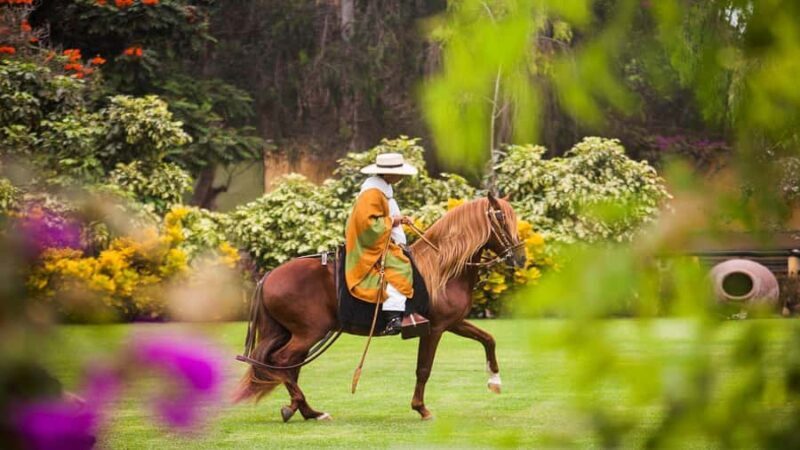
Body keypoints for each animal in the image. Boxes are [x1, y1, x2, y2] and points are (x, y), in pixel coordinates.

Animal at [233, 193, 526, 421]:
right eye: (501, 218)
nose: (520, 258)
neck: (441, 267)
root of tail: (269, 276)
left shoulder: (454, 323)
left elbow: (488, 339)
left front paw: (495, 381)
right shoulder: (436, 328)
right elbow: (424, 369)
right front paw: (421, 409)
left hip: (291, 333)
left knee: (285, 366)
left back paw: (303, 409)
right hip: (309, 332)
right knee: (284, 362)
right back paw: (305, 408)